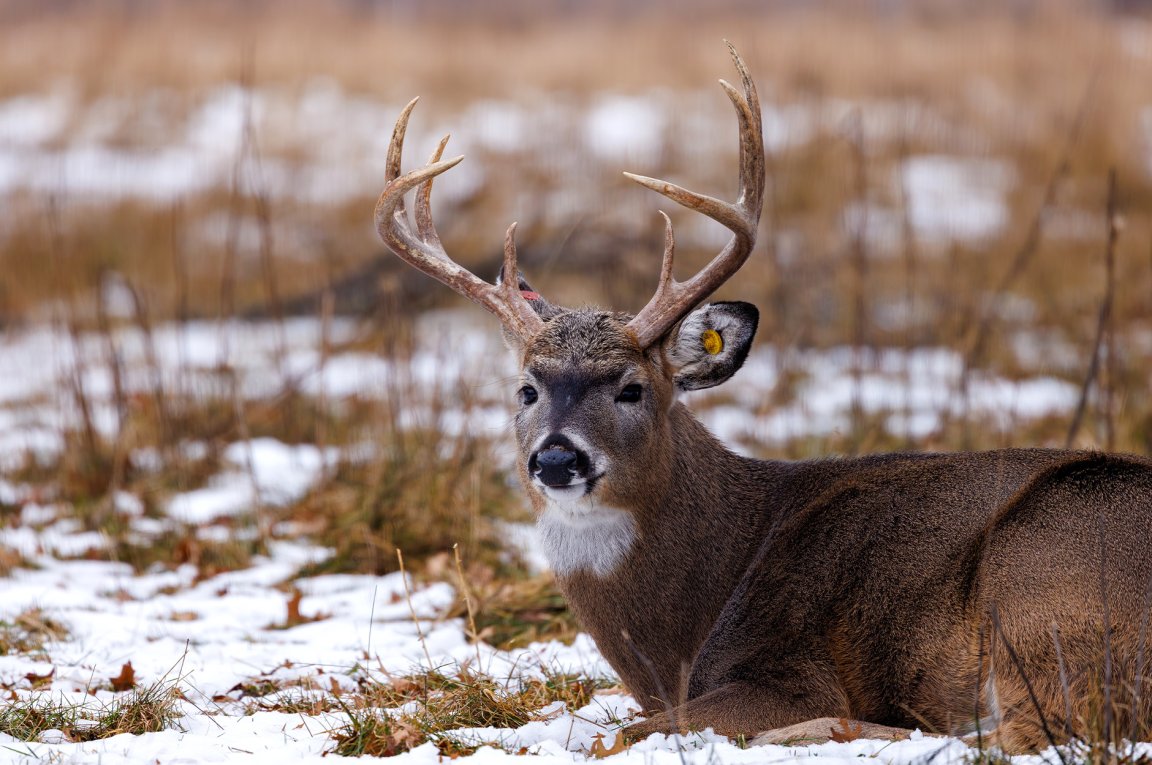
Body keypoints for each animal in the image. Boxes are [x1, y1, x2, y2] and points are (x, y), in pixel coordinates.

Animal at [374, 44, 1152, 753]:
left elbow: (624, 732)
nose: (557, 458)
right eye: (527, 388)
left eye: (631, 387)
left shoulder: (789, 672)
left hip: (1044, 583)